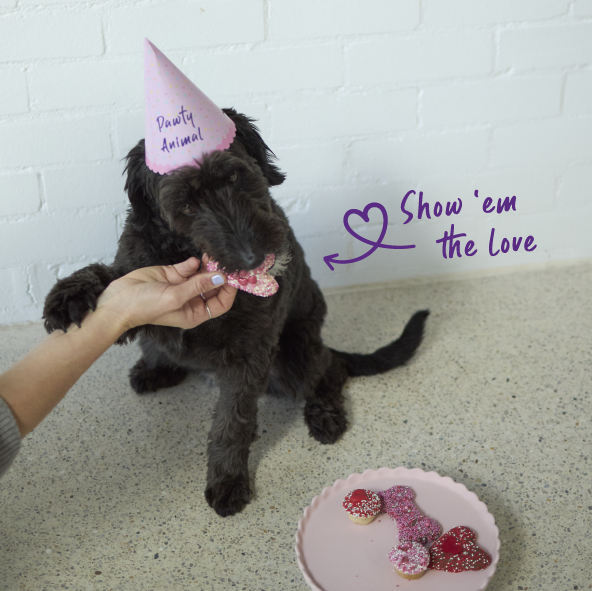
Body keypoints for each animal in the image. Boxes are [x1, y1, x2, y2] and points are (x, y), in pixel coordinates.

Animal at [42, 110, 430, 520]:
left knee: (330, 368)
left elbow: (233, 423)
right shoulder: (141, 283)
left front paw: (228, 480)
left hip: (293, 357)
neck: (189, 253)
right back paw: (156, 369)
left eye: (233, 177)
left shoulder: (250, 355)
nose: (253, 257)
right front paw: (70, 294)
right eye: (186, 205)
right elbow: (114, 279)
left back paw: (325, 414)